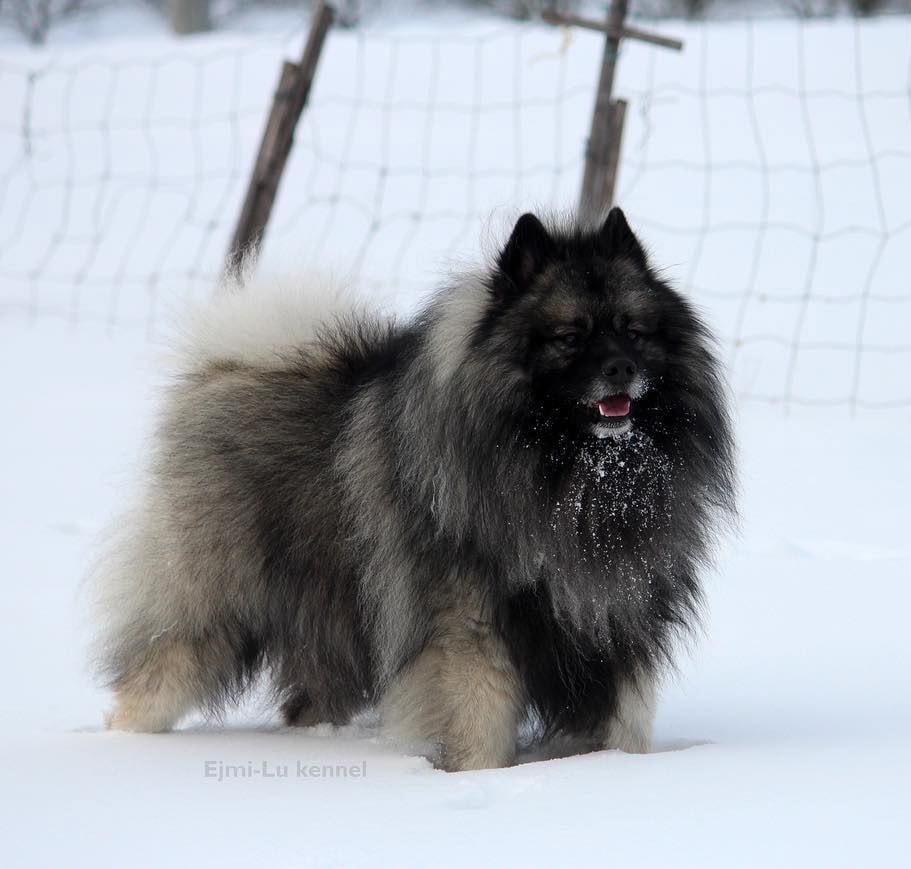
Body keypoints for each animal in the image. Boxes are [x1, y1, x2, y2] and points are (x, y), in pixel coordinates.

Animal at [94, 209, 732, 768]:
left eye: (634, 331)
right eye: (570, 337)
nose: (622, 368)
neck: (571, 476)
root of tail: (231, 365)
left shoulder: (618, 621)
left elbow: (624, 724)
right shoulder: (471, 636)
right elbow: (478, 730)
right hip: (210, 603)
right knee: (152, 679)